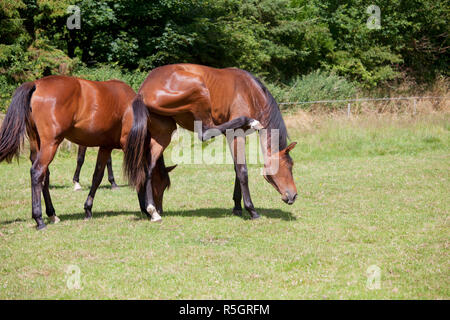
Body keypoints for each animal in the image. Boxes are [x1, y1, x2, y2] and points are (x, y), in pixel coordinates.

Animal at [0, 75, 176, 230]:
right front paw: (149, 210)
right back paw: (39, 219)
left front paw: (88, 209)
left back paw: (52, 215)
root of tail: (36, 84)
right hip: (51, 144)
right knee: (37, 172)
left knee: (44, 176)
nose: (160, 209)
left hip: (37, 144)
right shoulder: (128, 144)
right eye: (162, 185)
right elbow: (140, 173)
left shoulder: (105, 147)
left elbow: (97, 177)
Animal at [125, 63, 298, 220]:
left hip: (163, 134)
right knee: (206, 131)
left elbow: (236, 169)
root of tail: (143, 90)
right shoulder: (237, 134)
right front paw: (251, 210)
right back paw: (250, 121)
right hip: (199, 91)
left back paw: (152, 211)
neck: (251, 92)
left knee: (148, 170)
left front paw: (237, 207)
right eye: (288, 166)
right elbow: (242, 171)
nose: (294, 195)